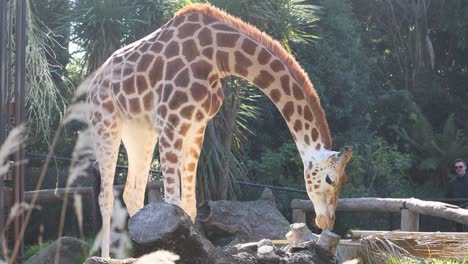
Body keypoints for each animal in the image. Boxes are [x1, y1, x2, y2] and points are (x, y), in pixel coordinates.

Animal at [87, 3, 352, 256]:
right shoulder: (170, 120)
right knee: (105, 197)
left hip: (140, 132)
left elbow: (189, 207)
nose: (327, 221)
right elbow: (173, 202)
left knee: (132, 192)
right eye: (330, 179)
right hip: (105, 124)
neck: (218, 57)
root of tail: (92, 83)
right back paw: (107, 255)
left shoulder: (196, 126)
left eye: (344, 182)